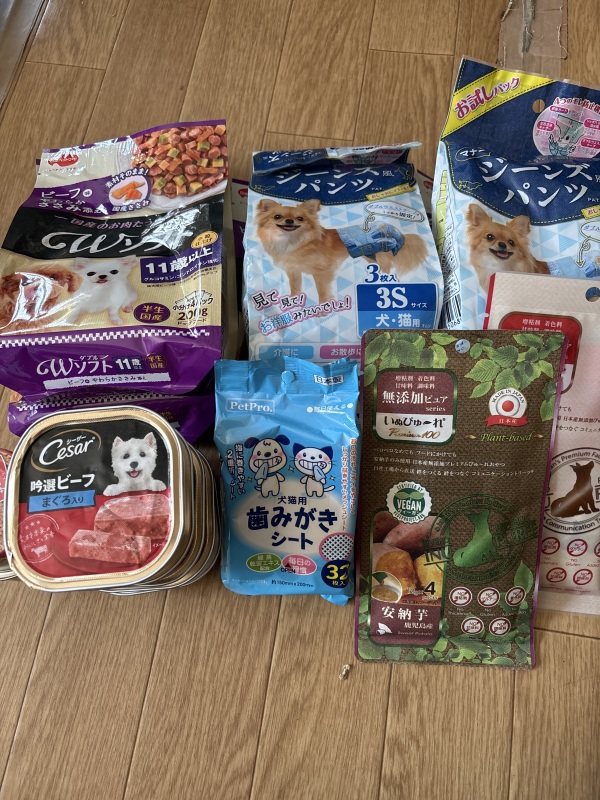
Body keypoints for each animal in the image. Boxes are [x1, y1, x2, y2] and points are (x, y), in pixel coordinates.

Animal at [256, 198, 428, 303]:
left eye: (300, 219)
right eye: (277, 216)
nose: (290, 221)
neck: (292, 242)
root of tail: (396, 230)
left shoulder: (322, 272)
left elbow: (322, 291)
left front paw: (322, 310)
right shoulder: (294, 271)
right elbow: (295, 287)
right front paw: (293, 302)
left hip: (380, 254)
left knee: (387, 267)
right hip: (369, 255)